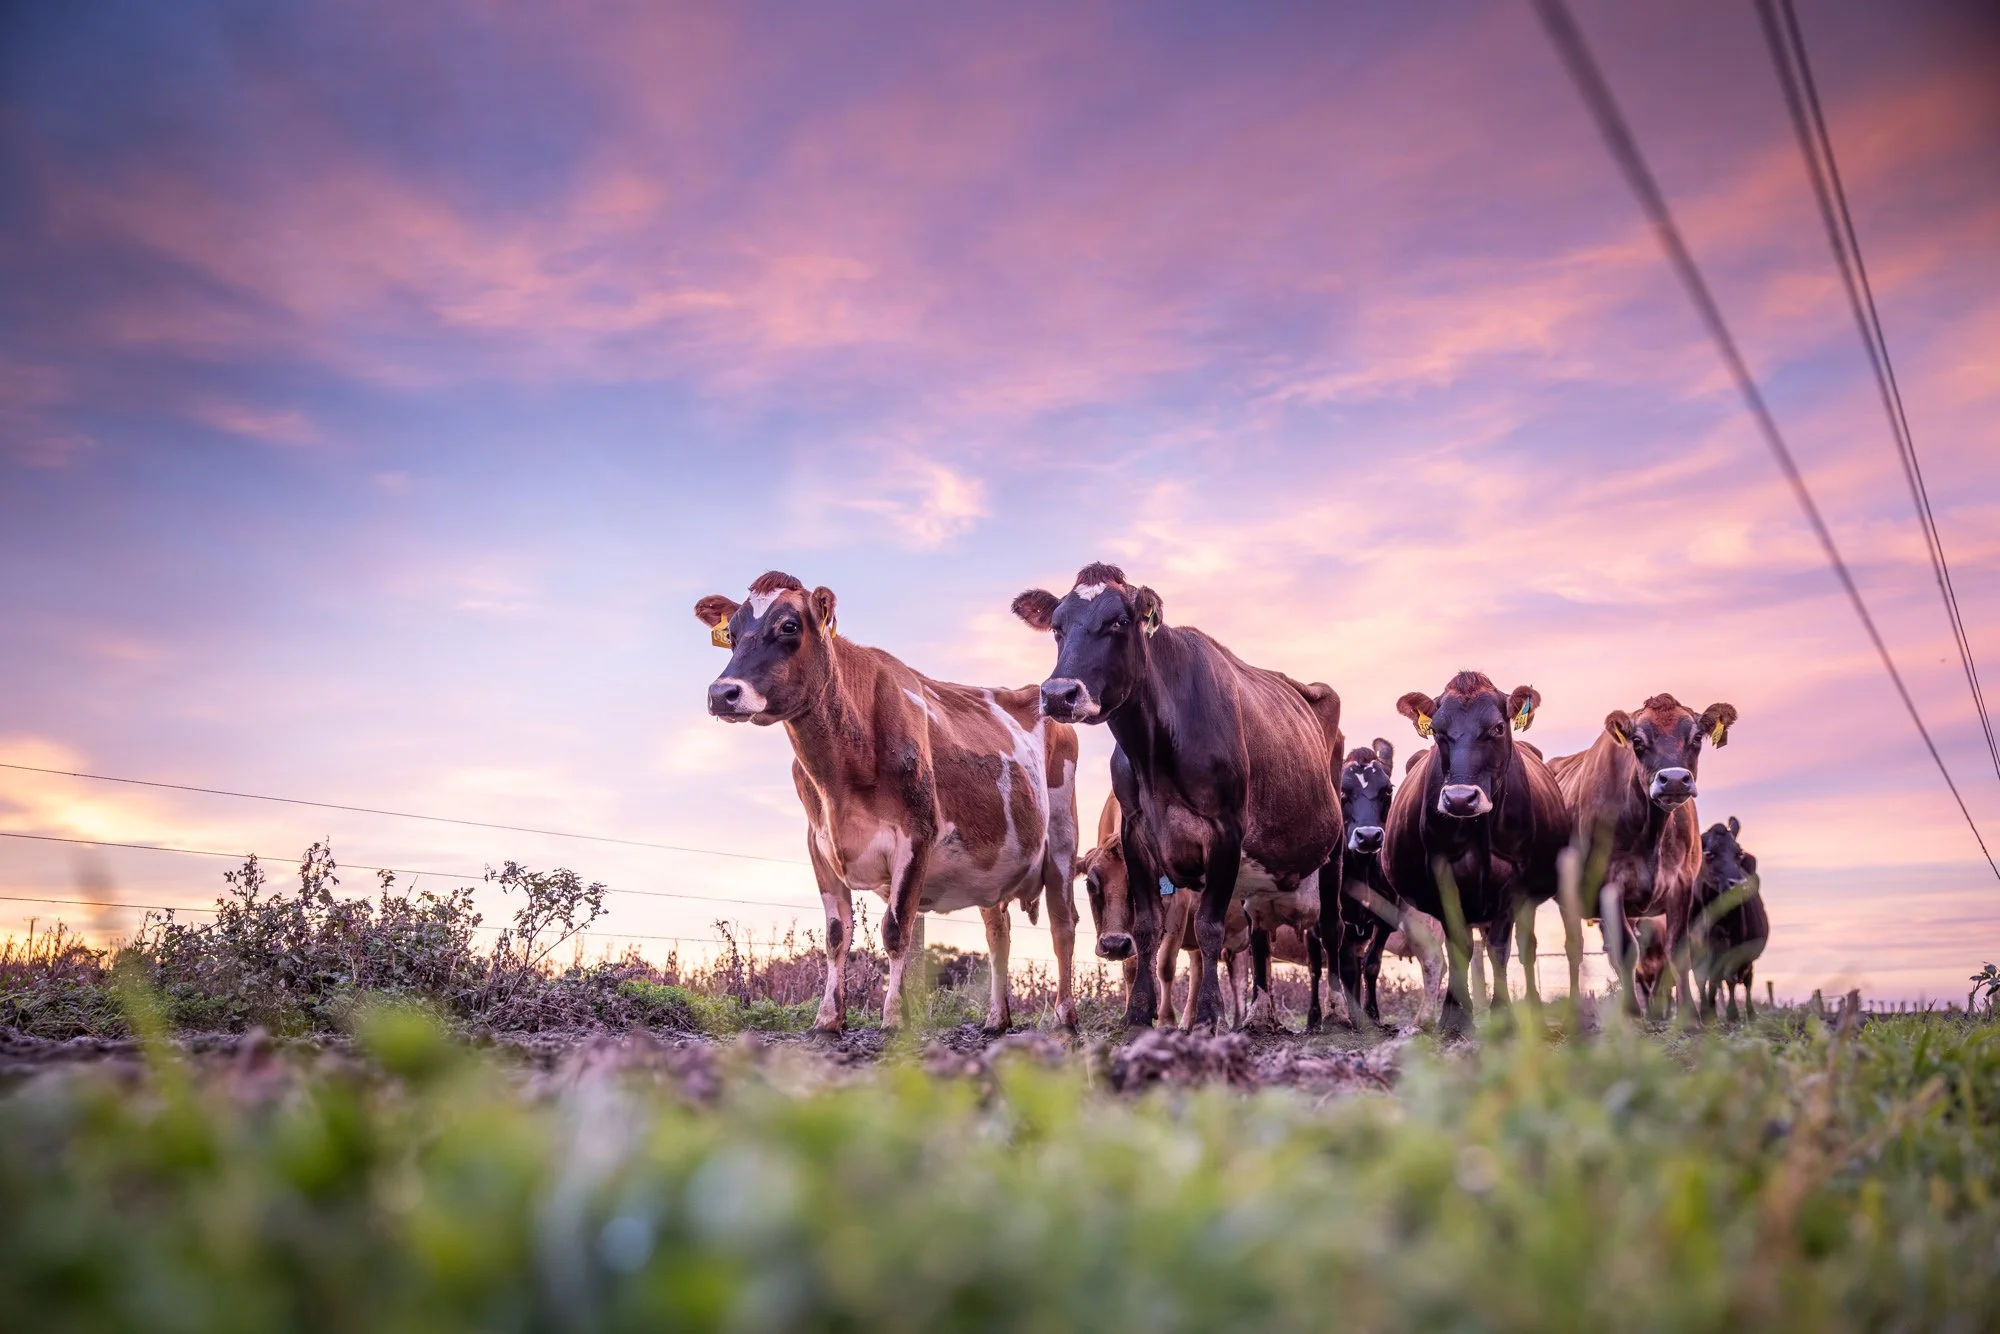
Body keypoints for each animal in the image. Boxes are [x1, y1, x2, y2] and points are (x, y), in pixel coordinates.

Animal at [695, 571, 1081, 1035]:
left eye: (789, 625)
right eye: (731, 633)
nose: (722, 693)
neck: (841, 777)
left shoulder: (917, 835)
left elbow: (896, 931)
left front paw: (894, 1017)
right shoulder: (819, 844)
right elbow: (836, 934)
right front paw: (828, 1017)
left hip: (1062, 839)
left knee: (1063, 926)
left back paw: (1064, 1017)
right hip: (995, 864)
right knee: (998, 931)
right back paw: (996, 1019)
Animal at [1013, 563, 1344, 1031]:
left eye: (1119, 621)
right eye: (1057, 627)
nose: (1059, 693)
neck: (1153, 753)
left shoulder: (1226, 831)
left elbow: (1208, 928)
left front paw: (1207, 1015)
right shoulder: (1136, 833)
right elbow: (1147, 928)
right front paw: (1138, 1011)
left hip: (1335, 850)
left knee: (1332, 931)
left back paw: (1338, 1011)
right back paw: (1261, 1016)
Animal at [1382, 671, 1570, 1033]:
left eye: (1497, 727)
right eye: (1438, 730)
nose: (1459, 799)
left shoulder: (1516, 875)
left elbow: (1500, 947)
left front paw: (1503, 1013)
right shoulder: (1441, 872)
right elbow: (1459, 944)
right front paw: (1455, 1014)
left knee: (1525, 947)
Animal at [1547, 694, 1738, 1015]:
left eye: (1696, 737)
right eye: (1637, 740)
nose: (1673, 779)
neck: (1652, 832)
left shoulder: (1681, 885)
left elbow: (1677, 952)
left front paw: (1689, 1017)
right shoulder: (1610, 886)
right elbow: (1625, 953)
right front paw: (1633, 1016)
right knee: (1575, 948)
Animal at [1690, 816, 1768, 1021]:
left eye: (1738, 854)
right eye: (1709, 853)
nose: (1739, 885)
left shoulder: (1735, 945)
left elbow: (1726, 978)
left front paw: (1729, 1013)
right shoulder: (1693, 946)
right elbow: (1702, 978)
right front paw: (1706, 1013)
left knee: (1746, 980)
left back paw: (1749, 1013)